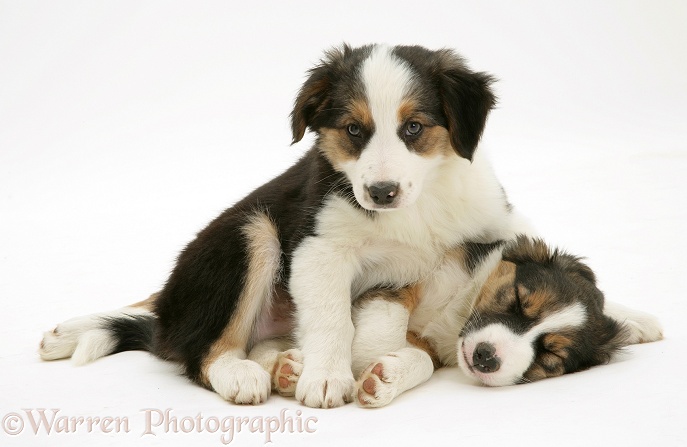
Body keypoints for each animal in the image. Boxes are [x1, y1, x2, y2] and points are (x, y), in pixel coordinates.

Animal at [37, 43, 532, 408]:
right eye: (354, 130)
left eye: (414, 127)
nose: (381, 192)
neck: (417, 206)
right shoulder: (319, 246)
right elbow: (333, 318)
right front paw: (328, 377)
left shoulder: (496, 223)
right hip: (250, 231)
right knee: (197, 346)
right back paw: (238, 372)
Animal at [250, 238, 664, 410]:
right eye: (517, 300)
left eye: (551, 356)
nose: (485, 357)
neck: (458, 312)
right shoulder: (397, 279)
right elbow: (384, 326)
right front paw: (353, 365)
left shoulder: (433, 347)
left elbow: (420, 359)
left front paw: (383, 377)